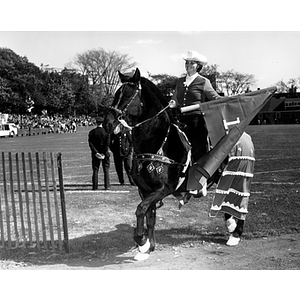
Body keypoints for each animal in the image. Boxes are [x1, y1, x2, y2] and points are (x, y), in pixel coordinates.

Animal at [103, 68, 241, 260]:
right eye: (116, 94)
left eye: (129, 95)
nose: (107, 123)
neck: (159, 141)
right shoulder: (145, 190)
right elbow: (149, 216)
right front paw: (148, 247)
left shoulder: (164, 188)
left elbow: (140, 210)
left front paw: (141, 241)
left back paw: (235, 231)